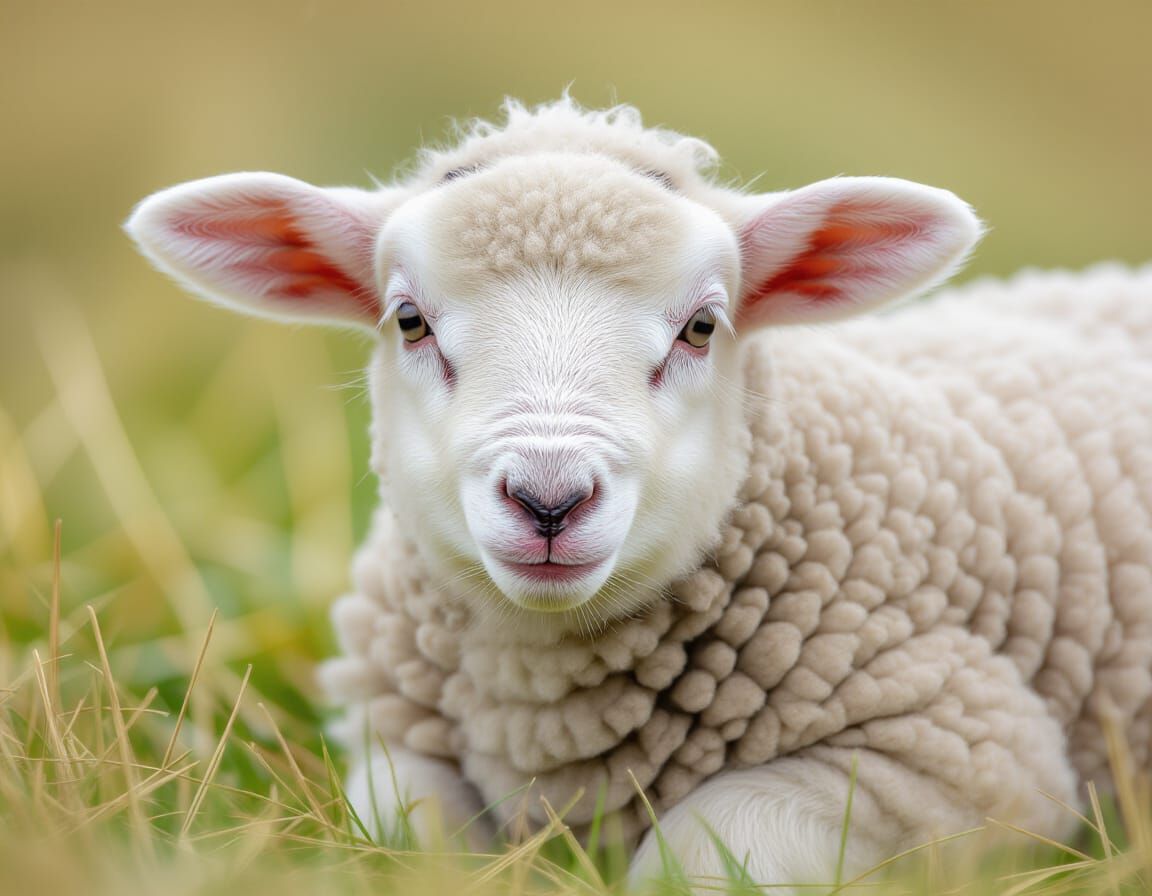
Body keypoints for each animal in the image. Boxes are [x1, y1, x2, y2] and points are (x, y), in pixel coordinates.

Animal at [126, 98, 1152, 891]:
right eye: (409, 320)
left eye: (701, 326)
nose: (548, 501)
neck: (545, 705)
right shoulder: (393, 742)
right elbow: (413, 838)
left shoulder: (968, 751)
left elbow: (701, 855)